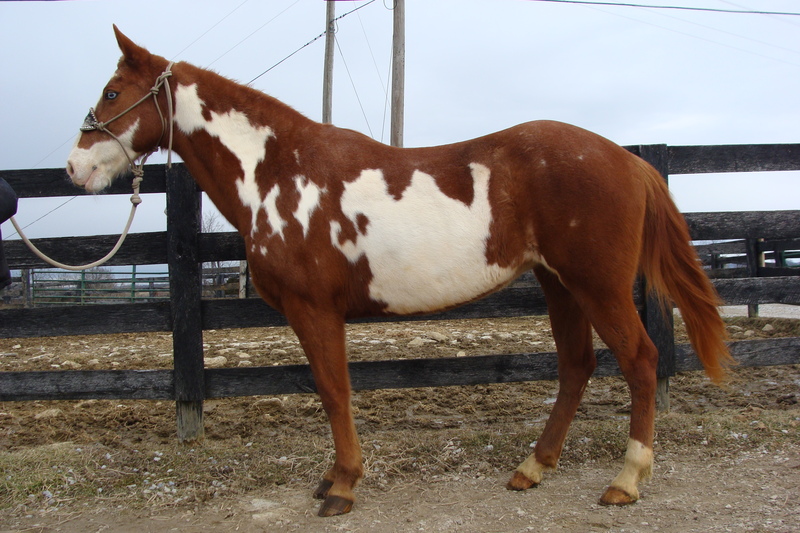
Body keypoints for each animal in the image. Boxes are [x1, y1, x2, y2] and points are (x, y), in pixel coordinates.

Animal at [66, 26, 733, 517]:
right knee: (576, 366)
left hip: (598, 286)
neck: (280, 171)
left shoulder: (314, 309)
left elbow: (334, 391)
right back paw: (531, 469)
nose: (75, 167)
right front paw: (333, 479)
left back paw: (626, 480)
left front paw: (342, 487)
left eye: (111, 92)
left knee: (640, 361)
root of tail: (626, 159)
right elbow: (331, 390)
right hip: (559, 285)